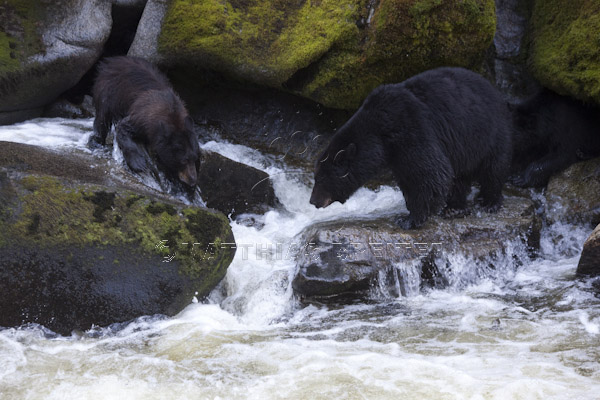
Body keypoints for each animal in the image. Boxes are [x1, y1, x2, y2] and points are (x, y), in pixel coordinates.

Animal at [89, 55, 199, 187]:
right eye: (183, 160)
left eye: (194, 158)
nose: (193, 180)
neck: (171, 115)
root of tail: (109, 61)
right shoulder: (142, 119)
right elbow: (123, 127)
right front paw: (138, 163)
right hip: (108, 91)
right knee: (102, 117)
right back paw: (97, 141)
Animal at [310, 65, 510, 228]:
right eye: (316, 176)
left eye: (321, 178)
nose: (313, 201)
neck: (380, 133)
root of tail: (495, 90)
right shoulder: (395, 154)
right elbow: (411, 177)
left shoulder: (411, 128)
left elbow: (429, 174)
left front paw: (410, 219)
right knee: (460, 176)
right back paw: (455, 207)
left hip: (491, 132)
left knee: (493, 168)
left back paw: (489, 202)